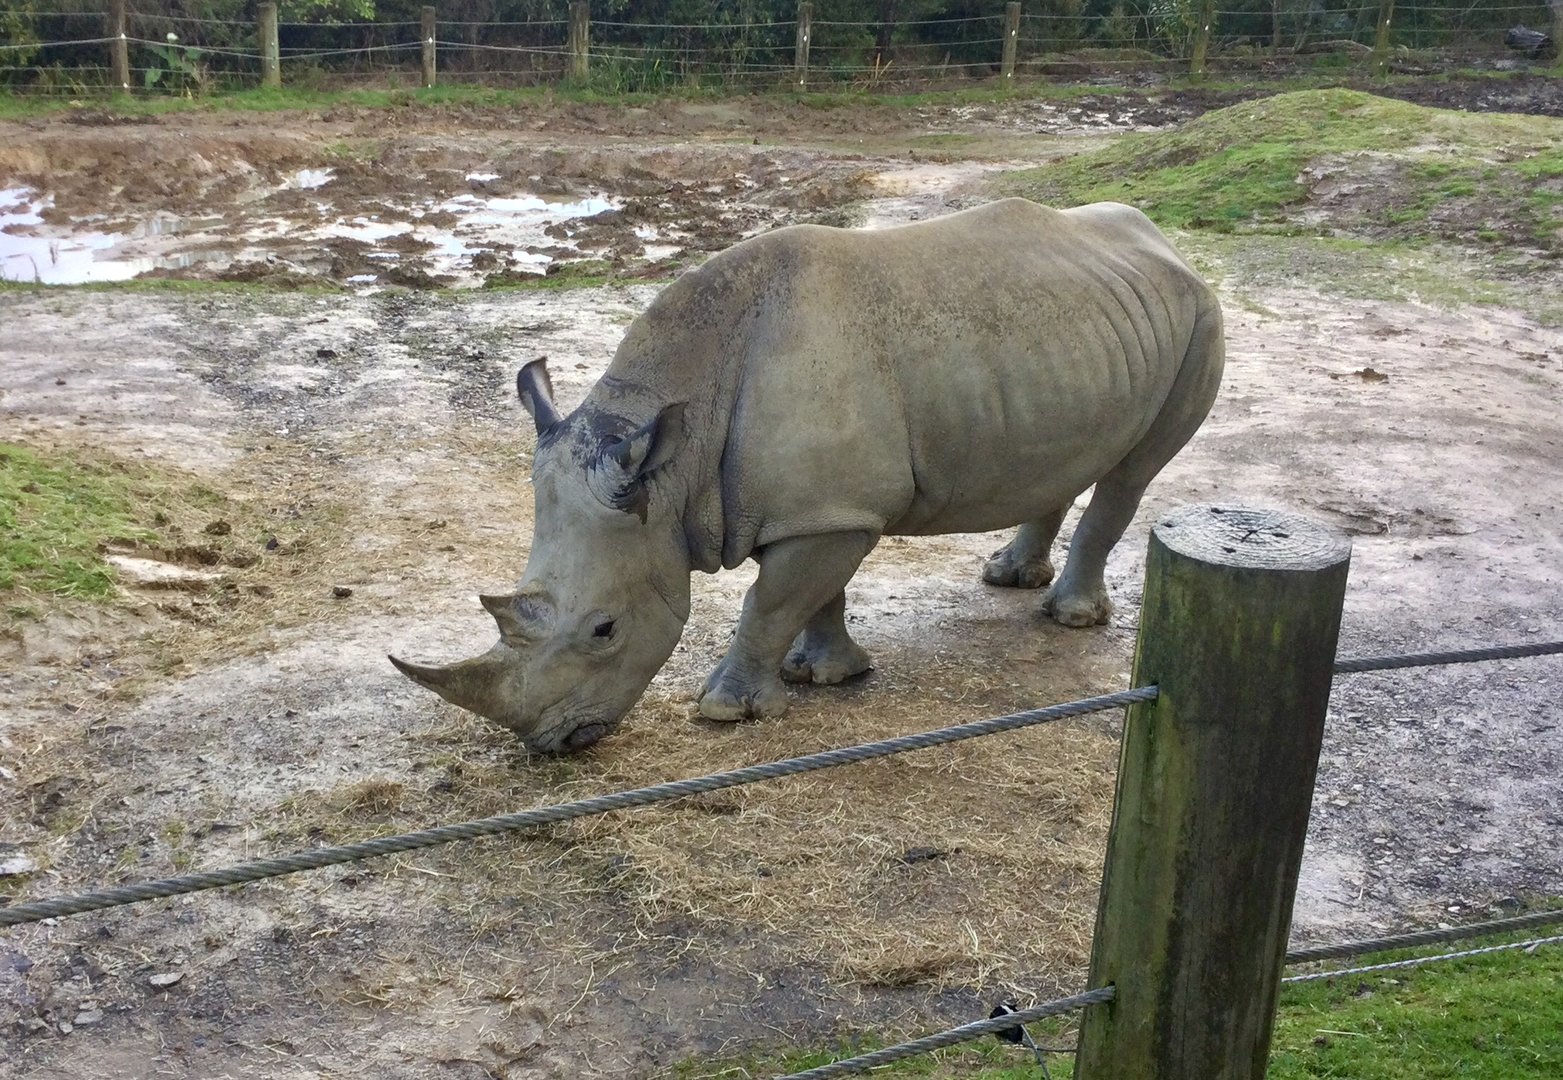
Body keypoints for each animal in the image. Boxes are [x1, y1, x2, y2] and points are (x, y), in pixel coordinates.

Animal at [391, 198, 1224, 752]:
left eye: (604, 630)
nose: (553, 744)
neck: (671, 463)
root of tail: (1163, 241)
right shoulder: (822, 507)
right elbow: (815, 595)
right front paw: (823, 675)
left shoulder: (831, 509)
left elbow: (769, 601)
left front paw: (728, 712)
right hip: (1083, 333)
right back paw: (1006, 577)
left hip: (1200, 316)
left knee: (1132, 474)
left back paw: (1069, 617)